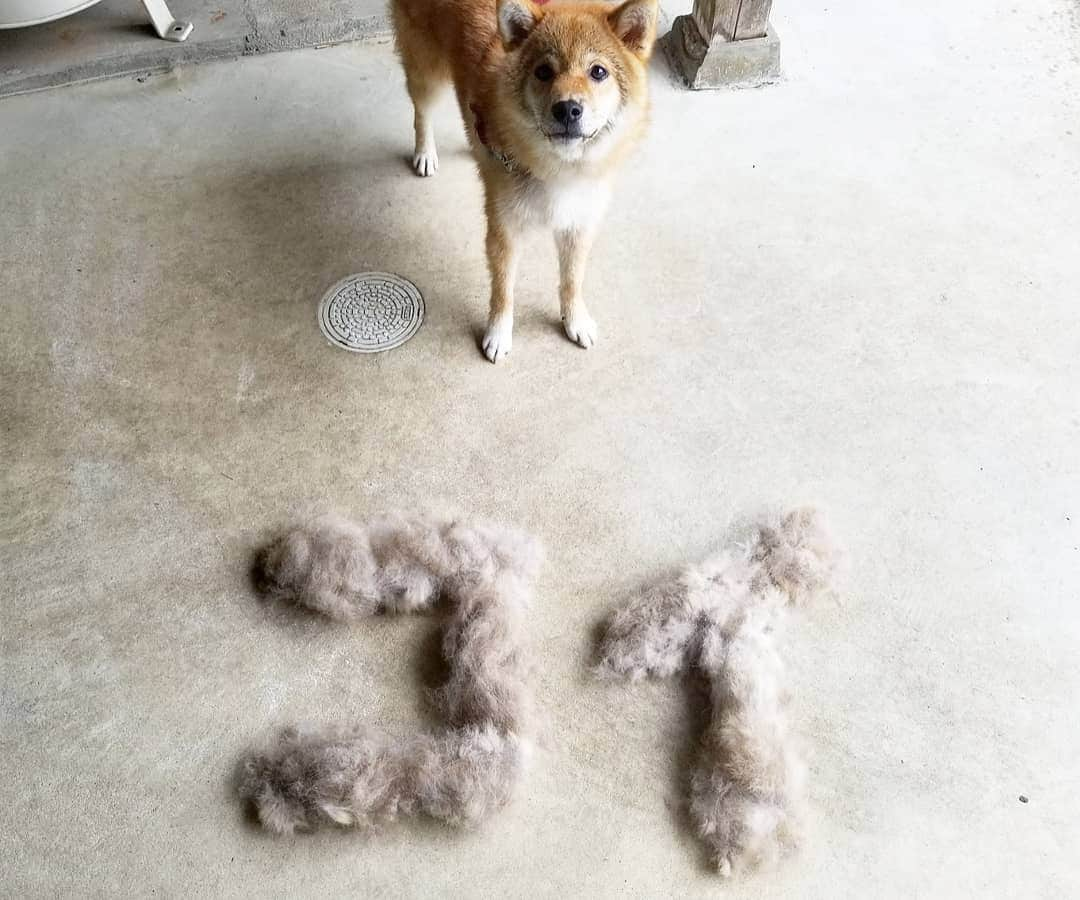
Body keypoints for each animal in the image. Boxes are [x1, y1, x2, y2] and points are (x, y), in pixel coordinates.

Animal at [388, 0, 656, 360]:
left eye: (598, 71)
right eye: (543, 71)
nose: (567, 109)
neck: (557, 169)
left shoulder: (579, 223)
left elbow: (572, 280)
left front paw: (575, 319)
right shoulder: (505, 229)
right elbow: (503, 289)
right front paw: (499, 333)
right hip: (425, 72)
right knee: (422, 113)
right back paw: (425, 152)